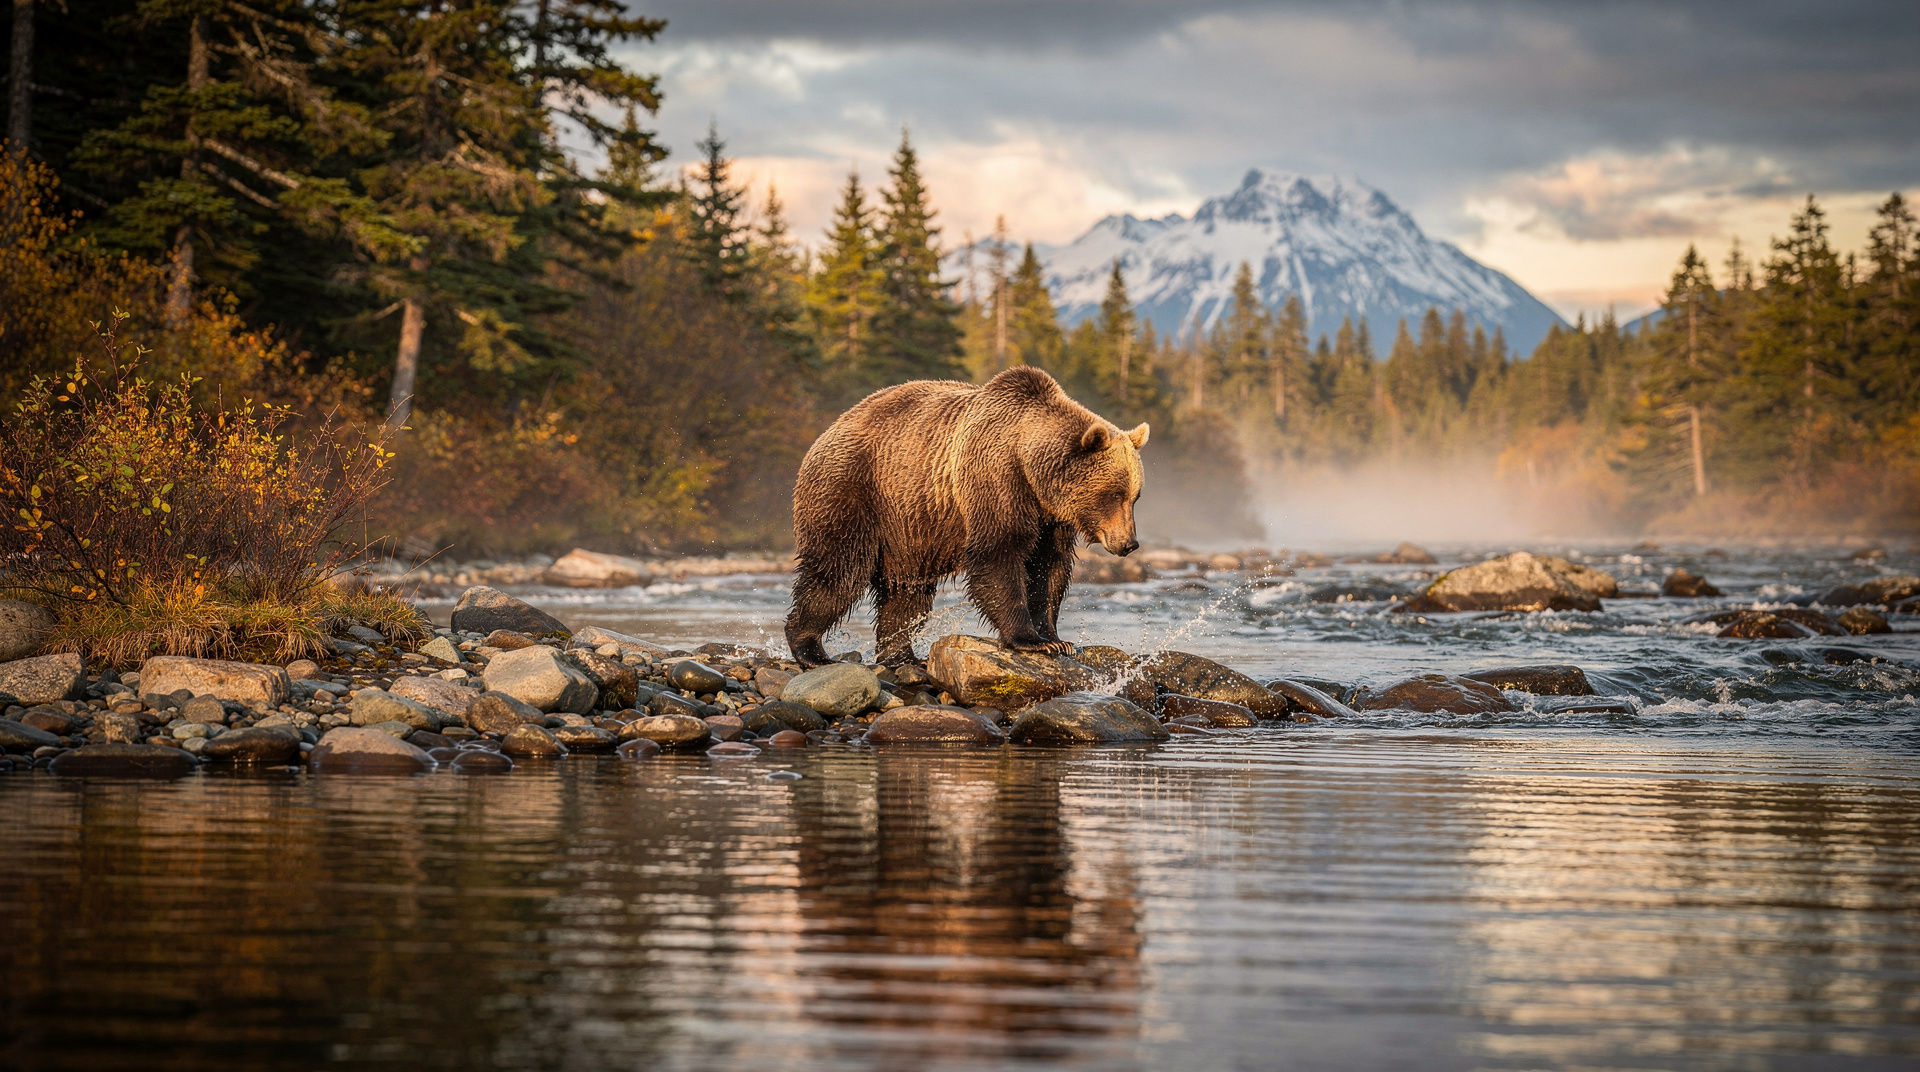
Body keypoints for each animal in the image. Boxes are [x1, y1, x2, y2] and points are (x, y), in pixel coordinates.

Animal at [785, 366, 1149, 668]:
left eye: (1135, 496)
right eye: (1113, 494)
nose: (1128, 543)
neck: (1031, 469)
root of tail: (828, 430)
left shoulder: (1051, 518)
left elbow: (1048, 568)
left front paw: (1056, 639)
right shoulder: (995, 480)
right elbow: (998, 557)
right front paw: (1030, 641)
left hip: (907, 529)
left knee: (907, 593)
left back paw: (902, 655)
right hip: (855, 490)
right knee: (838, 573)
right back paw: (810, 649)